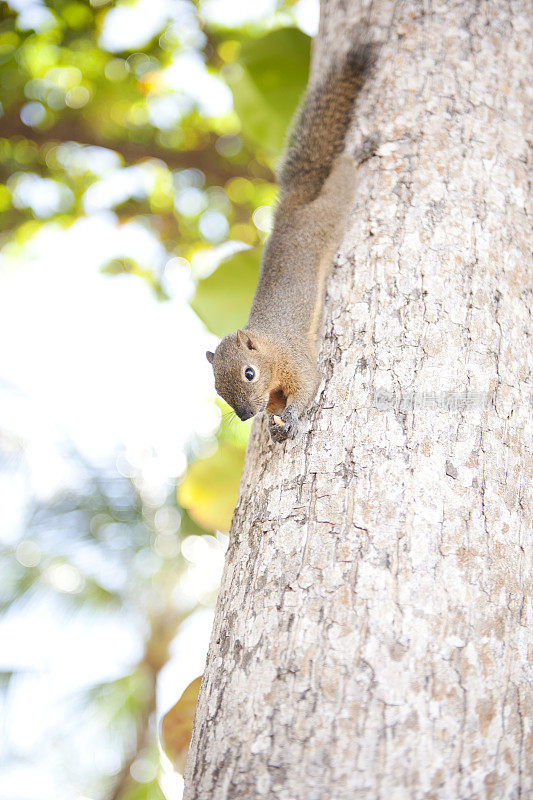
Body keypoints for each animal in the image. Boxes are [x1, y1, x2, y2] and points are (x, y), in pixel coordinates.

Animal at [205, 44, 374, 444]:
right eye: (217, 388)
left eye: (249, 373)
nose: (246, 415)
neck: (271, 350)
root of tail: (290, 211)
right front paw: (273, 421)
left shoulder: (296, 359)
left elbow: (309, 385)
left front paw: (292, 418)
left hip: (330, 213)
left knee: (343, 175)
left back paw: (360, 152)